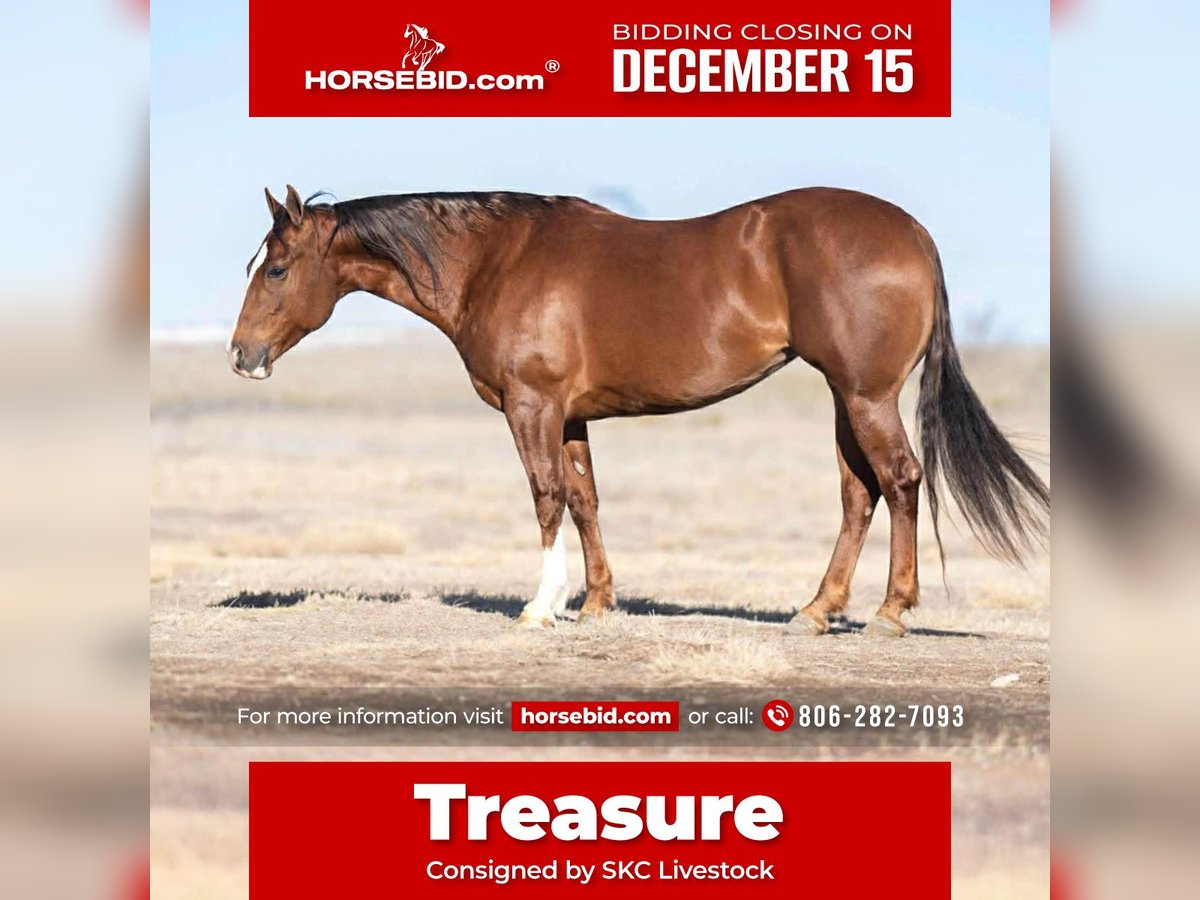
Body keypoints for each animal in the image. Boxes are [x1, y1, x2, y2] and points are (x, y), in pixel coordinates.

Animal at [230, 185, 1048, 636]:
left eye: (277, 270)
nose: (240, 355)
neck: (498, 260)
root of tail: (913, 233)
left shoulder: (531, 406)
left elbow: (546, 498)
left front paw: (542, 606)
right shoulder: (570, 416)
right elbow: (585, 500)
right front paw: (596, 602)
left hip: (865, 395)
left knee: (900, 481)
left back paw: (889, 612)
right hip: (847, 399)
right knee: (860, 494)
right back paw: (817, 611)